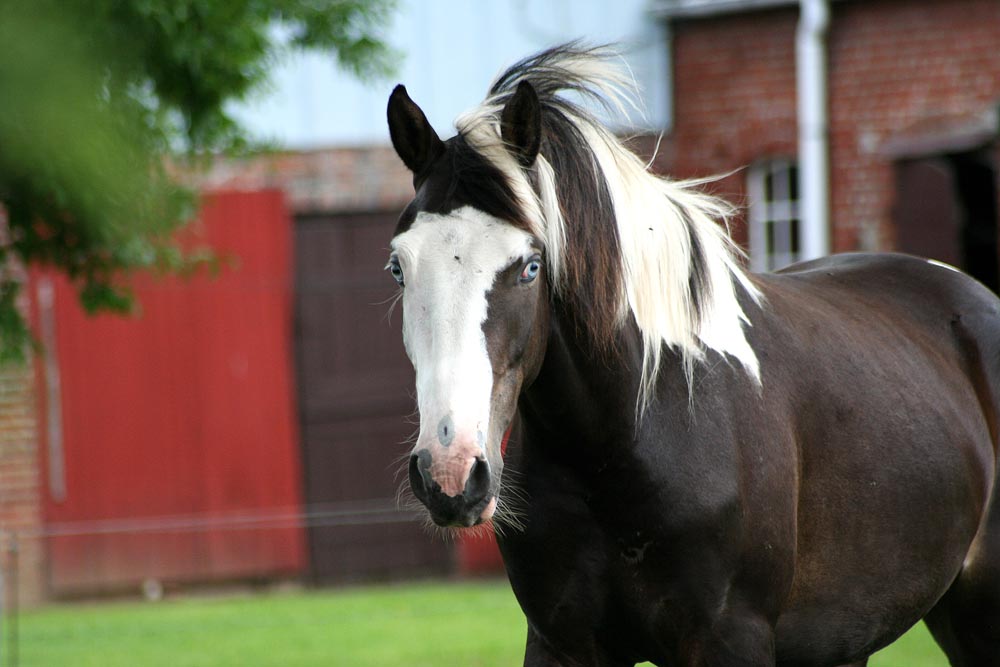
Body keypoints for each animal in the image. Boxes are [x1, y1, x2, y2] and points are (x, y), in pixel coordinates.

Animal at [382, 44, 1000, 664]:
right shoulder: (560, 643)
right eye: (398, 268)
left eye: (530, 266)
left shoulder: (730, 639)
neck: (627, 441)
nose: (450, 472)